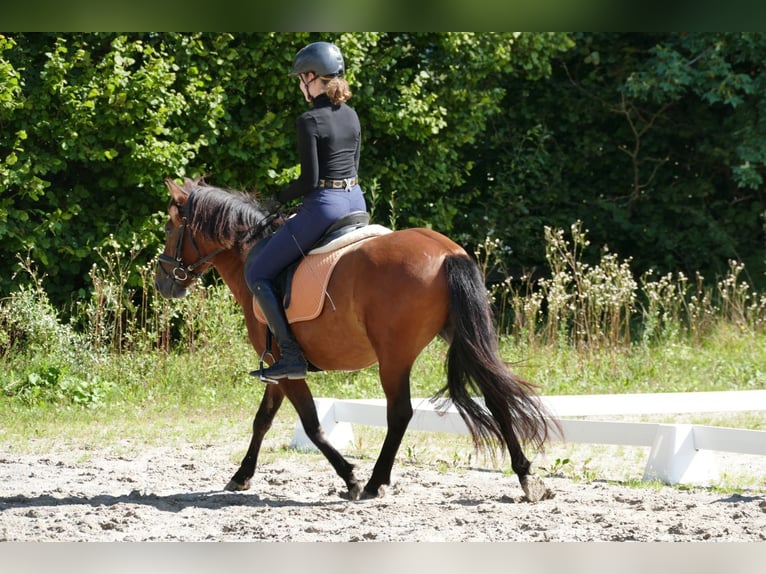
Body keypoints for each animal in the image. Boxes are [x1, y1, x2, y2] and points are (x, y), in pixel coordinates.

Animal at [153, 178, 560, 502]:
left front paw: (350, 477)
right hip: (460, 336)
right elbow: (262, 420)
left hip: (394, 356)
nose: (163, 283)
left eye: (171, 228)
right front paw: (241, 476)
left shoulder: (285, 366)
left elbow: (312, 425)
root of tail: (446, 252)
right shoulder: (275, 368)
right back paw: (527, 477)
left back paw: (376, 482)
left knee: (400, 412)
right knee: (495, 396)